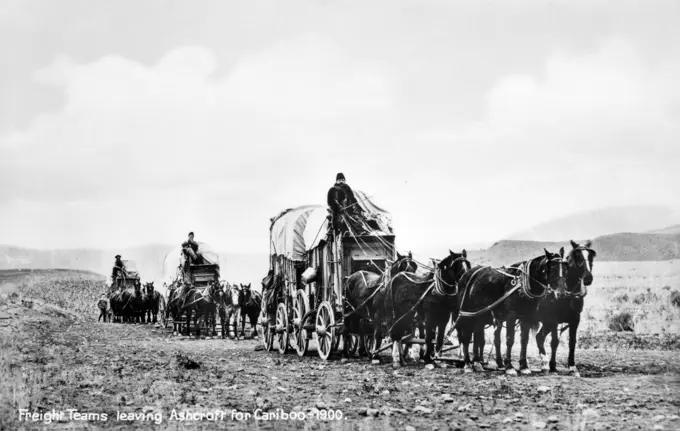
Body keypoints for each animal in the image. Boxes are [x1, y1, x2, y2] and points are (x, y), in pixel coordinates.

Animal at [454, 248, 572, 376]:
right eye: (553, 267)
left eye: (566, 268)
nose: (561, 294)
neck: (522, 284)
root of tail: (466, 274)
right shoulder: (511, 316)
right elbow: (510, 340)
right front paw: (509, 367)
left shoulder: (527, 317)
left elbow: (524, 340)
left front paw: (524, 366)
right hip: (466, 314)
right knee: (465, 337)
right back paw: (467, 365)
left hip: (480, 315)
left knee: (477, 335)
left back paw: (477, 363)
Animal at [536, 241, 596, 376]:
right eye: (578, 256)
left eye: (591, 256)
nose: (588, 278)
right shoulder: (554, 320)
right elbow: (554, 342)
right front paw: (553, 366)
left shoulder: (575, 320)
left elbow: (572, 342)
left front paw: (572, 367)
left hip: (546, 323)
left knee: (539, 337)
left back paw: (543, 363)